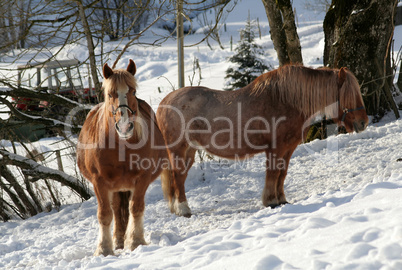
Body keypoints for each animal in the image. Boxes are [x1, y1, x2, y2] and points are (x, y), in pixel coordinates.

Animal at [77, 60, 168, 256]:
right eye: (110, 94)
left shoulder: (142, 179)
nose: (125, 127)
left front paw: (135, 241)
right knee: (116, 210)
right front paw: (104, 249)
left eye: (133, 91)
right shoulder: (99, 182)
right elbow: (105, 214)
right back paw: (117, 241)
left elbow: (136, 208)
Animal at [156, 65, 368, 217]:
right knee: (177, 177)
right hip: (178, 149)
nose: (363, 122)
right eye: (348, 94)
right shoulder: (276, 148)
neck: (287, 100)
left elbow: (282, 173)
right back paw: (183, 209)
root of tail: (164, 103)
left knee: (180, 177)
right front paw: (271, 201)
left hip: (189, 150)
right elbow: (273, 173)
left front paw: (281, 199)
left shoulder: (288, 148)